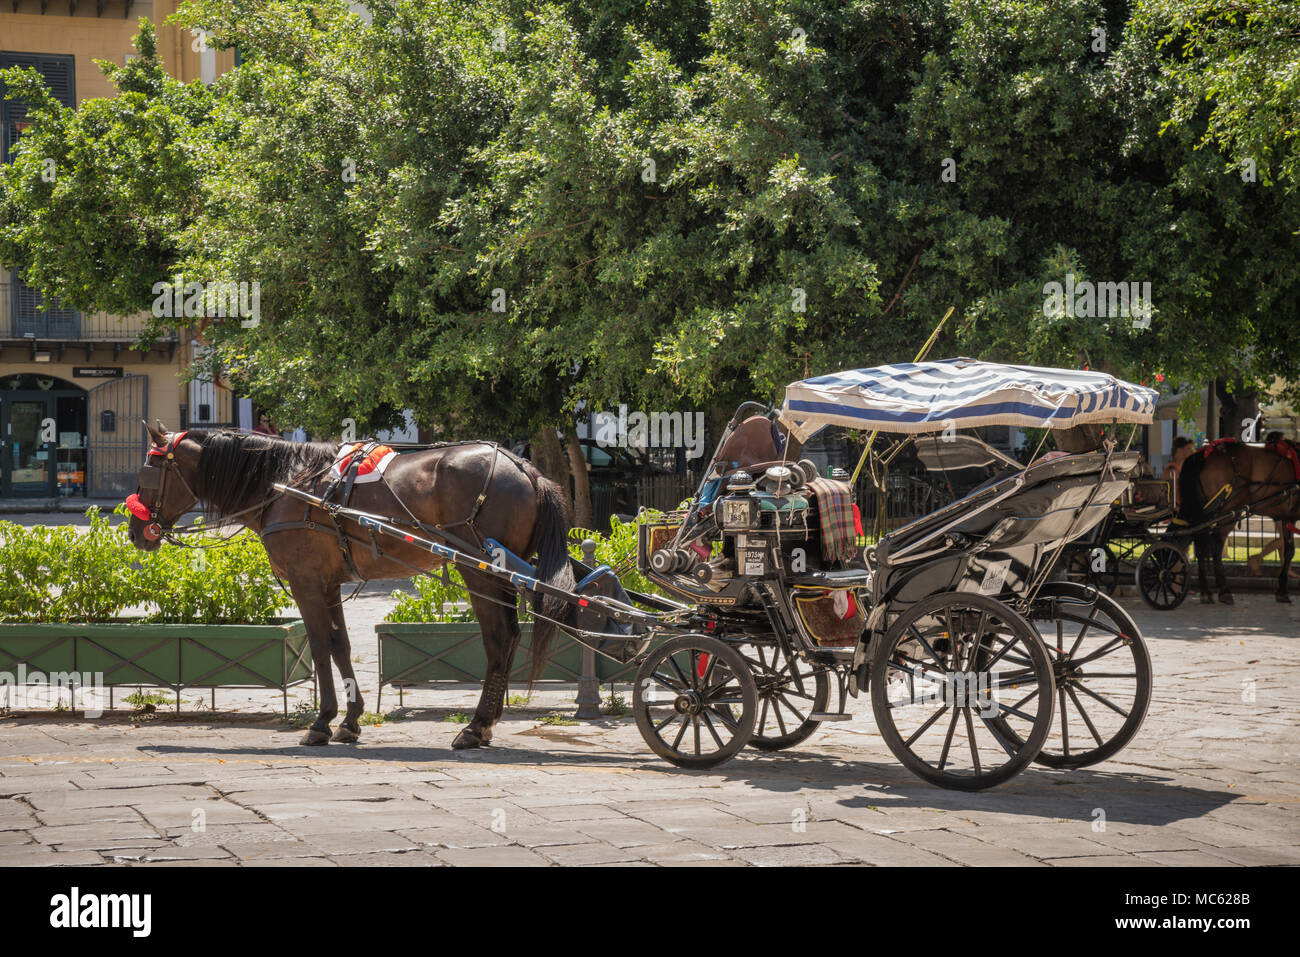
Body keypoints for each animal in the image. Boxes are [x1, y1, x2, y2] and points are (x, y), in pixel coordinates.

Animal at [128, 423, 574, 748]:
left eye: (149, 469)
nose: (135, 531)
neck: (286, 485)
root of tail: (524, 467)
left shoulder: (307, 582)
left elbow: (319, 646)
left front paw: (322, 721)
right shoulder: (329, 584)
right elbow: (340, 644)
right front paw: (351, 720)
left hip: (482, 571)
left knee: (498, 637)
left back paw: (476, 725)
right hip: (499, 574)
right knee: (510, 635)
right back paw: (485, 722)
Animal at [1180, 436, 1300, 600]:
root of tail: (1206, 452)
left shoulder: (1287, 517)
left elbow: (1288, 551)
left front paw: (1282, 589)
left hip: (1205, 513)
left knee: (1201, 546)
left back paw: (1205, 590)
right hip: (1228, 511)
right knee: (1215, 546)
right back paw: (1224, 589)